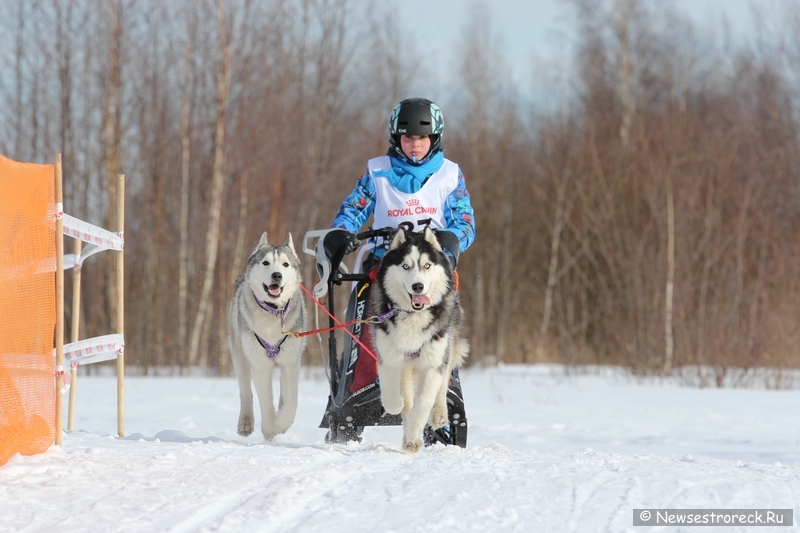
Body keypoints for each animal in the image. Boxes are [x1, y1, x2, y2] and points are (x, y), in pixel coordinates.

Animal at [231, 231, 310, 438]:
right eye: (265, 263)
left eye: (285, 264)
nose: (277, 275)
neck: (273, 312)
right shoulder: (259, 364)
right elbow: (265, 402)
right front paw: (270, 429)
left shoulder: (291, 361)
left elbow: (292, 401)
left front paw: (281, 423)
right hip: (240, 354)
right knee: (245, 392)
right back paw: (246, 422)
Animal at [374, 227, 472, 450]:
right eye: (405, 266)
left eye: (427, 265)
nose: (417, 286)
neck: (414, 317)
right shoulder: (390, 357)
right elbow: (394, 399)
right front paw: (399, 410)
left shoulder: (433, 362)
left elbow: (424, 401)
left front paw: (413, 435)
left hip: (447, 349)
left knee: (442, 386)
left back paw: (438, 414)